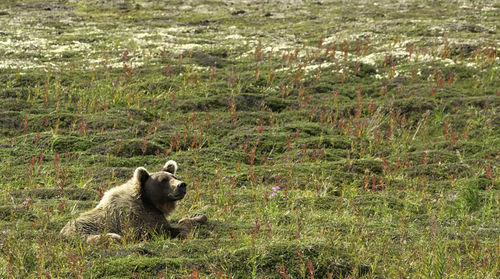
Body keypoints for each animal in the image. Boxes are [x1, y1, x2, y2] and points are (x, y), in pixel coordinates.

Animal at [60, 161, 207, 244]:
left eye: (174, 176)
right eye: (163, 180)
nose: (182, 185)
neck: (149, 201)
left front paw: (196, 215)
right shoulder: (140, 219)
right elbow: (172, 229)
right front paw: (197, 218)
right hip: (88, 234)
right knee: (112, 237)